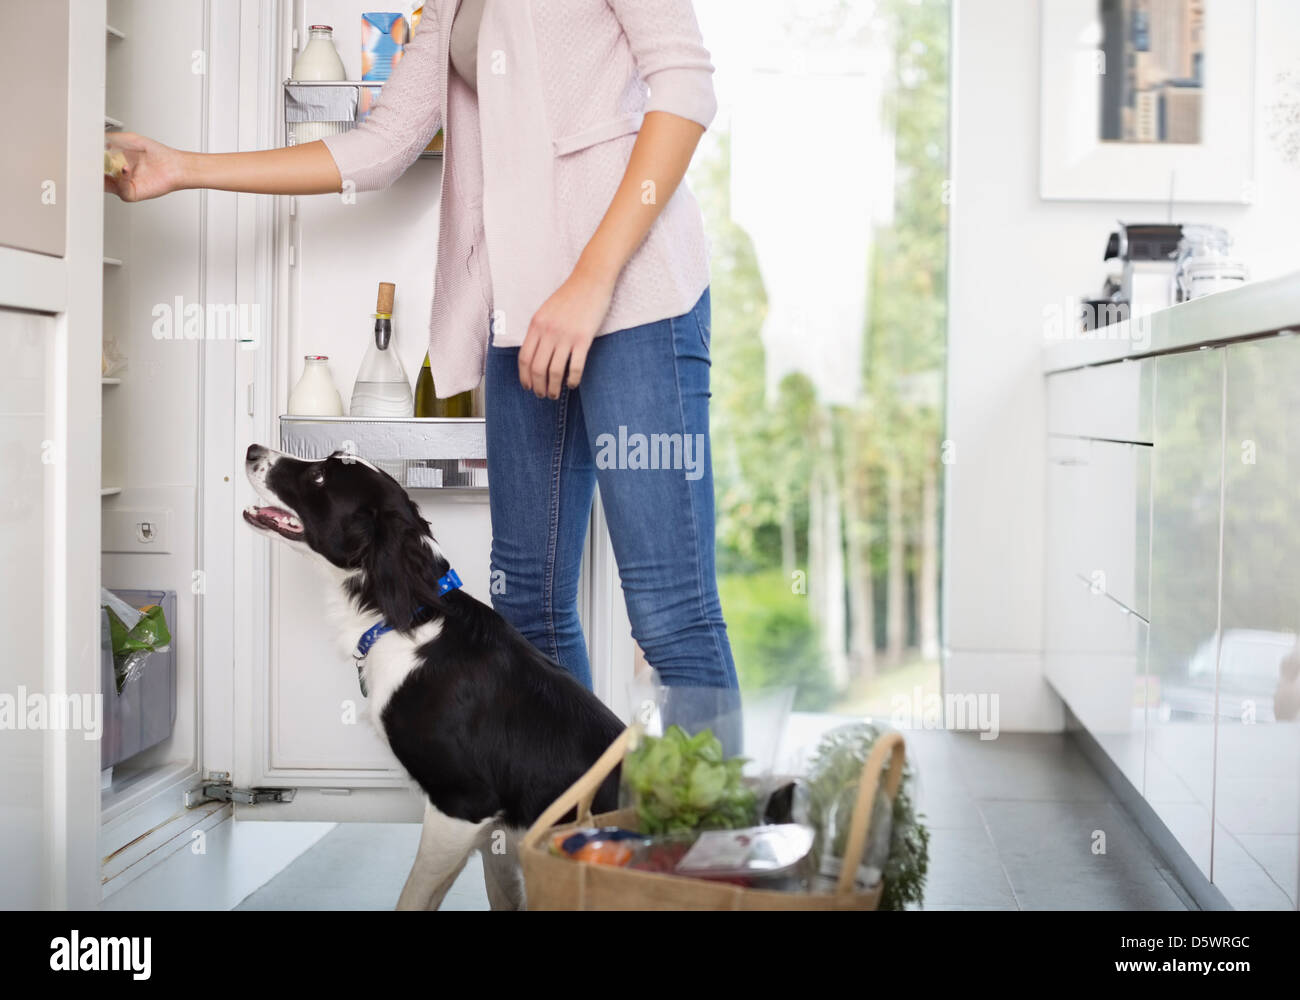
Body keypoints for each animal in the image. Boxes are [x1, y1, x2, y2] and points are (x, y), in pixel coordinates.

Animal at [246, 442, 629, 905]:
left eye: (319, 477)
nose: (251, 449)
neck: (409, 617)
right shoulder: (493, 839)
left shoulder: (461, 804)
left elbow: (413, 896)